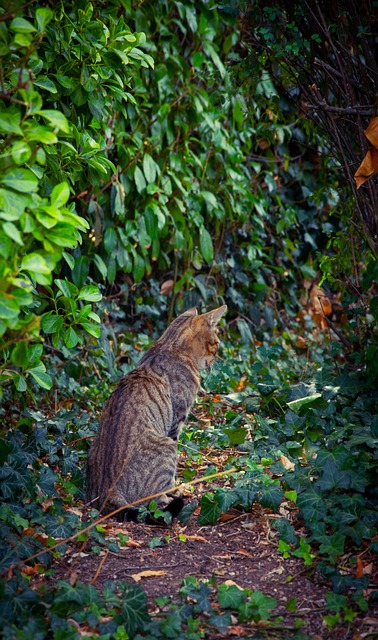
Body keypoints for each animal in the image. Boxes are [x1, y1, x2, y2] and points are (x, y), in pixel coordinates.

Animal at [85, 304, 226, 520]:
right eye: (216, 343)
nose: (216, 358)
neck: (170, 344)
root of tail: (108, 491)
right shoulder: (177, 419)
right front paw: (176, 488)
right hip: (166, 445)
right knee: (154, 503)